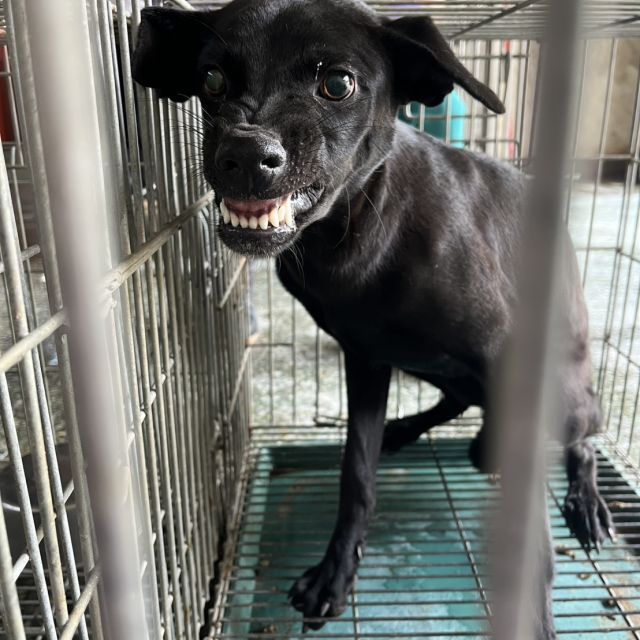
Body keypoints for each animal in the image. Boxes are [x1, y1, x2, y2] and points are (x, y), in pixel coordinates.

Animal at [133, 2, 613, 636]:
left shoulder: (507, 359)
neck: (358, 229)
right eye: (211, 79)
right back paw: (404, 430)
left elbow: (531, 520)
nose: (243, 157)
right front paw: (335, 571)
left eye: (338, 84)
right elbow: (355, 475)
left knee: (584, 438)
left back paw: (586, 502)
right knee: (458, 401)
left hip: (567, 389)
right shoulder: (364, 359)